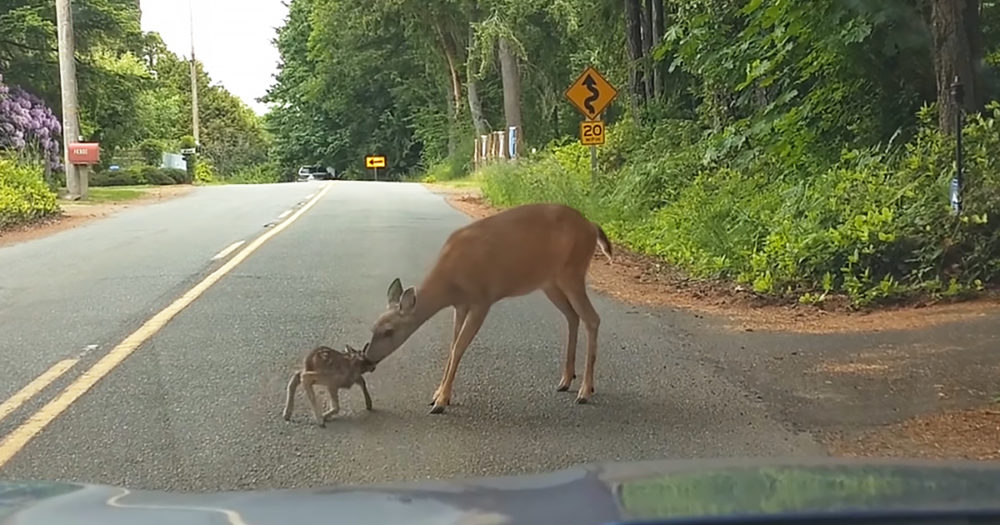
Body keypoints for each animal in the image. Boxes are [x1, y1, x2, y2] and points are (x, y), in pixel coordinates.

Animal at [363, 202, 612, 414]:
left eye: (389, 331)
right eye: (372, 327)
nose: (367, 358)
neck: (450, 283)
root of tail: (591, 226)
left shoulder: (482, 300)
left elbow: (458, 348)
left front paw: (441, 401)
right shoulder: (460, 305)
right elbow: (452, 346)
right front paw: (438, 394)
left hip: (572, 271)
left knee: (592, 318)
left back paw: (585, 391)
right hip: (550, 282)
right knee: (573, 316)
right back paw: (566, 381)